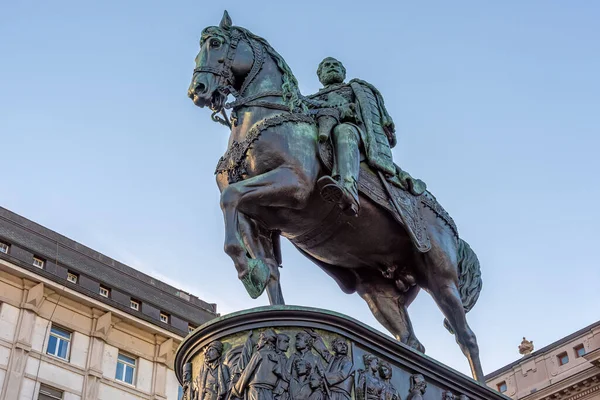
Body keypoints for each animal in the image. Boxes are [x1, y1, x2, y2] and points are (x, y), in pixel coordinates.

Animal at [189, 11, 488, 382]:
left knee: (466, 337)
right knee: (411, 342)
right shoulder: (257, 219)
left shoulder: (293, 184)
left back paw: (484, 385)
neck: (265, 116)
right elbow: (263, 260)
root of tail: (453, 233)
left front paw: (245, 267)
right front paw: (253, 273)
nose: (198, 90)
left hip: (441, 278)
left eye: (215, 43)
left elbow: (229, 196)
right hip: (378, 293)